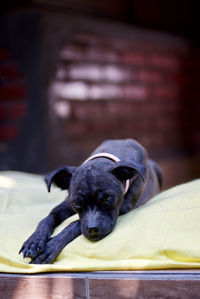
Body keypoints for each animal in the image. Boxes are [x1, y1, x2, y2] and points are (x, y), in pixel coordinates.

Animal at [19, 139, 162, 264]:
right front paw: (34, 240)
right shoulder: (65, 206)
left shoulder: (123, 208)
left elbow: (75, 224)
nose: (93, 229)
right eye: (77, 204)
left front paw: (51, 247)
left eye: (108, 199)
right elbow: (47, 218)